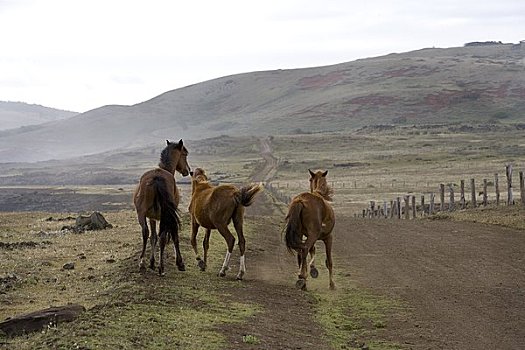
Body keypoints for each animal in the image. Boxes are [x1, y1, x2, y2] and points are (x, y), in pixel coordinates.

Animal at [133, 139, 190, 276]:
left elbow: (153, 237)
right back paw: (161, 267)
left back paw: (142, 263)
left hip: (141, 214)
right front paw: (180, 263)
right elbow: (174, 236)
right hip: (165, 215)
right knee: (163, 237)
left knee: (146, 232)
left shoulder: (152, 217)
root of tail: (156, 177)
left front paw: (152, 262)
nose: (188, 170)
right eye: (185, 154)